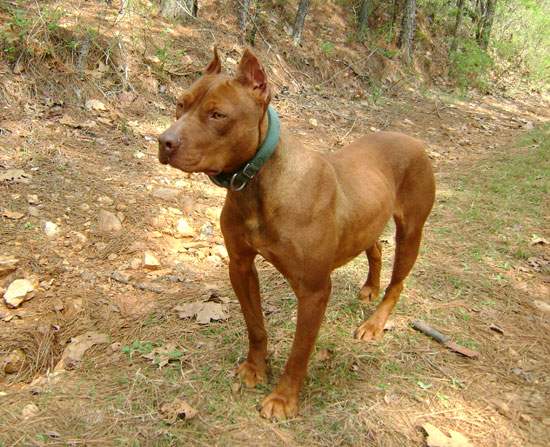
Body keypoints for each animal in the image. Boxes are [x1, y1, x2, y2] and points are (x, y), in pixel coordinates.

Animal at [158, 48, 436, 420]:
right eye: (180, 104)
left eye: (217, 114)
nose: (164, 141)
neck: (257, 183)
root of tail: (413, 140)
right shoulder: (240, 266)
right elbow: (256, 326)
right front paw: (255, 369)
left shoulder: (313, 290)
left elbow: (300, 350)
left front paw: (283, 398)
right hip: (366, 217)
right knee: (375, 248)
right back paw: (369, 288)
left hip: (411, 231)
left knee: (398, 281)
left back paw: (375, 323)